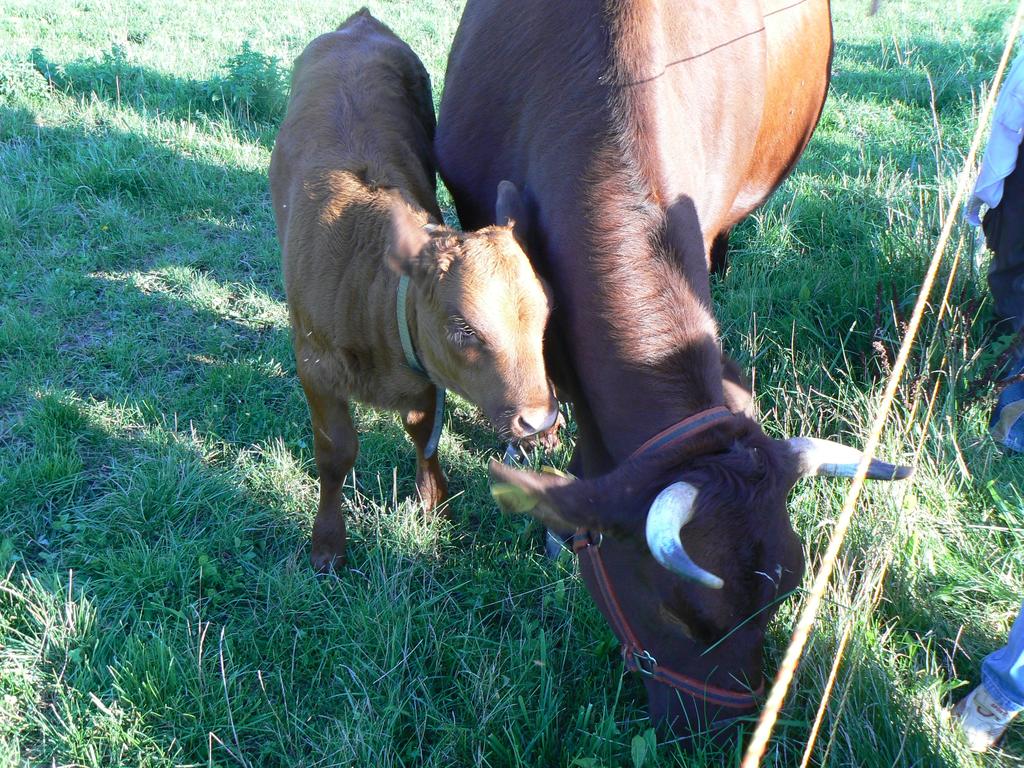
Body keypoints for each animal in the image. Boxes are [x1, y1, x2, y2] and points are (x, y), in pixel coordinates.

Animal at [272, 7, 557, 573]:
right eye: (464, 328)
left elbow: (425, 433)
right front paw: (327, 543)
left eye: (544, 316)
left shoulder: (423, 368)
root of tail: (361, 22)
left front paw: (434, 501)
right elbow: (336, 453)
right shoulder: (314, 364)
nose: (539, 421)